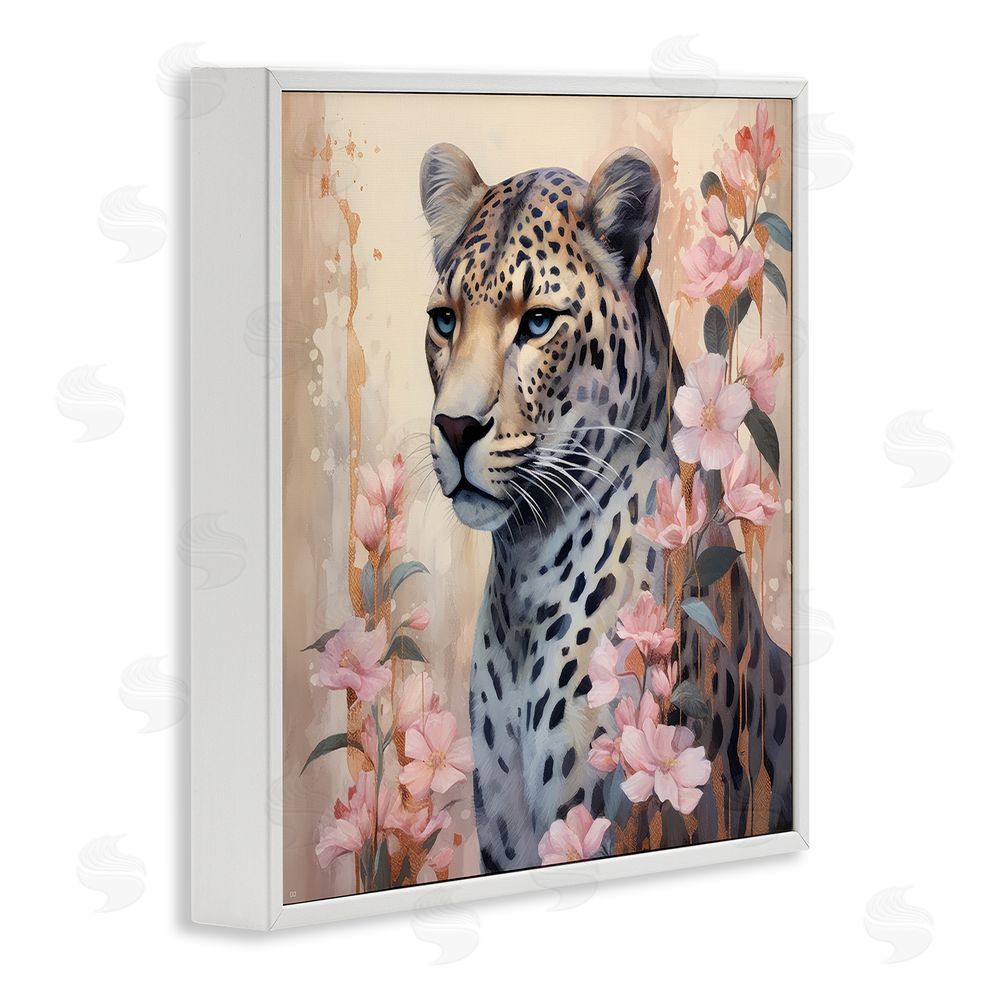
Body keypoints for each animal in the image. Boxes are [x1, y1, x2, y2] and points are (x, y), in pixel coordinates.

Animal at [419, 142, 792, 874]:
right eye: (445, 320)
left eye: (538, 321)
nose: (454, 426)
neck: (523, 577)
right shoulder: (506, 836)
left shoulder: (594, 818)